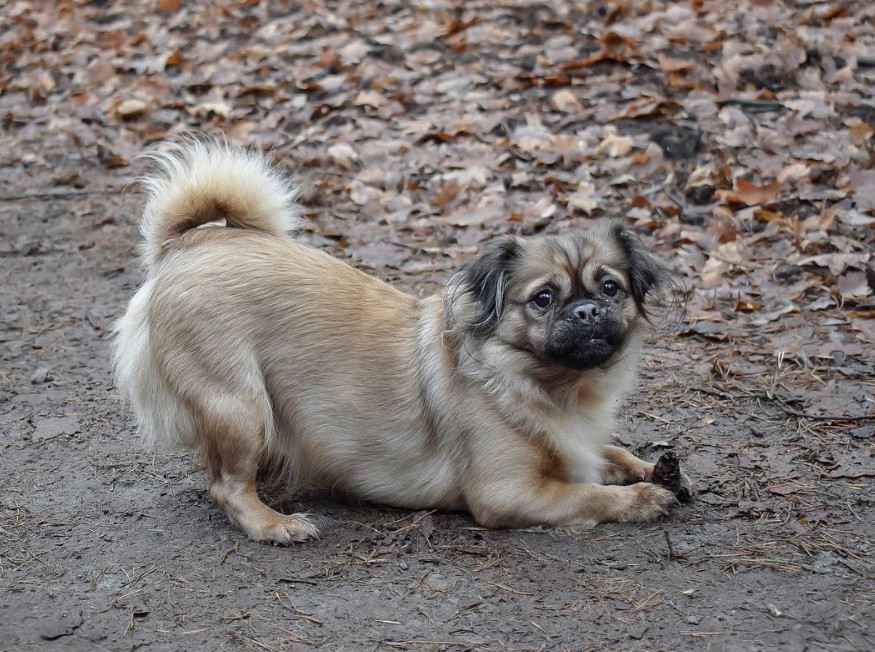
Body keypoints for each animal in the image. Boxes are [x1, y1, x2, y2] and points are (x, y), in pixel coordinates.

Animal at [113, 138, 696, 544]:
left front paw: (653, 469)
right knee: (228, 487)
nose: (587, 310)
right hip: (241, 408)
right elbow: (591, 494)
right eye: (544, 299)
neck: (549, 386)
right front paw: (644, 496)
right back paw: (274, 524)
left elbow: (609, 452)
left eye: (610, 288)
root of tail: (192, 244)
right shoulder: (510, 494)